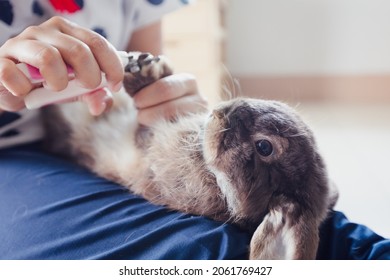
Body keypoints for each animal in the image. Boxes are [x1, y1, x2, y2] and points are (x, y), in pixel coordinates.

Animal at [41, 51, 336, 260]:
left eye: (264, 147)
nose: (223, 109)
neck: (216, 180)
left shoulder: (148, 151)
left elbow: (140, 130)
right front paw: (149, 67)